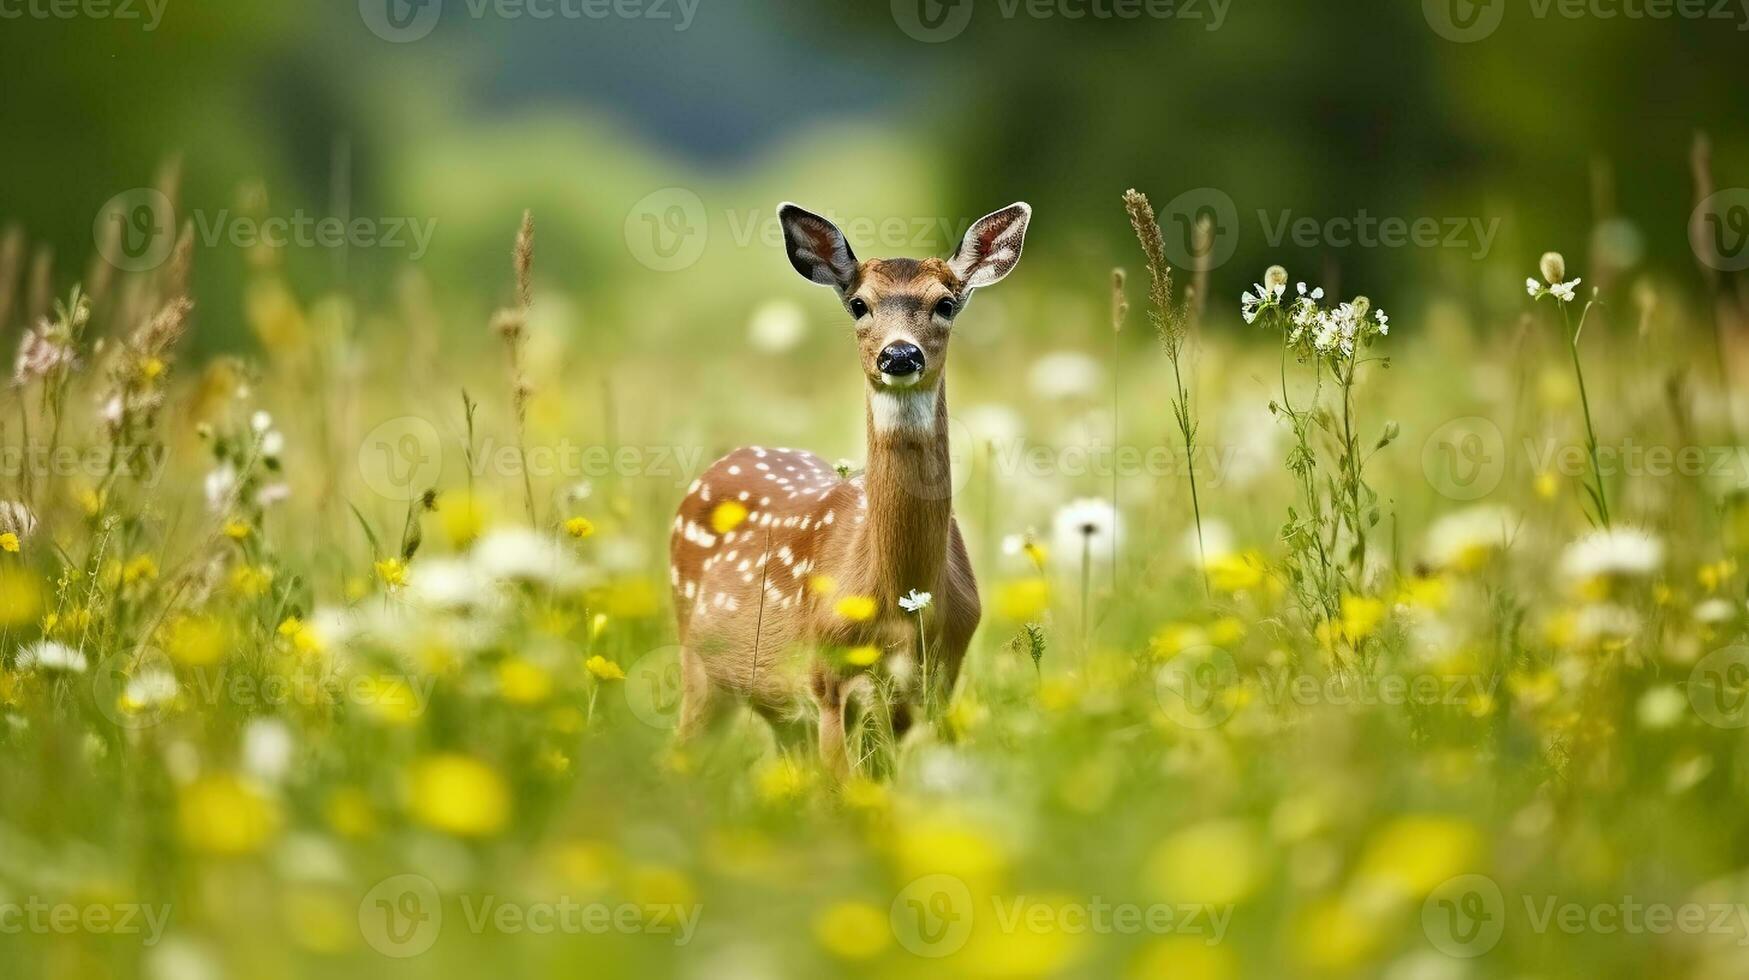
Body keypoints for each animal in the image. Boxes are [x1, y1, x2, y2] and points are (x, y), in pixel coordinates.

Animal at [664, 203, 1021, 777]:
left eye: (945, 304)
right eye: (859, 305)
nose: (900, 355)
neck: (898, 603)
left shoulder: (940, 682)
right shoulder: (828, 683)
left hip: (777, 707)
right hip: (699, 665)